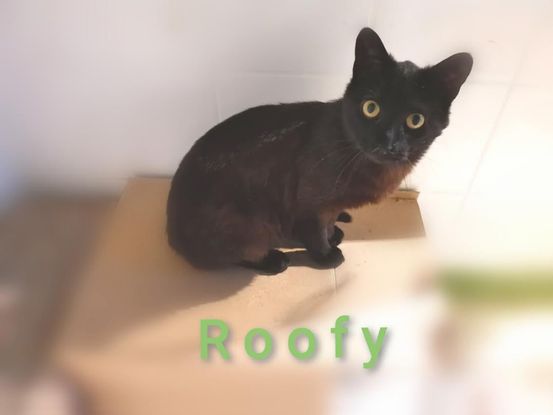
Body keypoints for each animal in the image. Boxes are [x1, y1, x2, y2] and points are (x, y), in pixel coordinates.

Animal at [167, 27, 472, 275]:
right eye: (371, 108)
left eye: (415, 120)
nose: (389, 143)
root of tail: (171, 234)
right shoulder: (310, 203)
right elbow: (315, 232)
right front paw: (326, 255)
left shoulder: (326, 206)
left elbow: (328, 223)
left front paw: (334, 232)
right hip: (246, 224)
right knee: (228, 257)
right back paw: (272, 260)